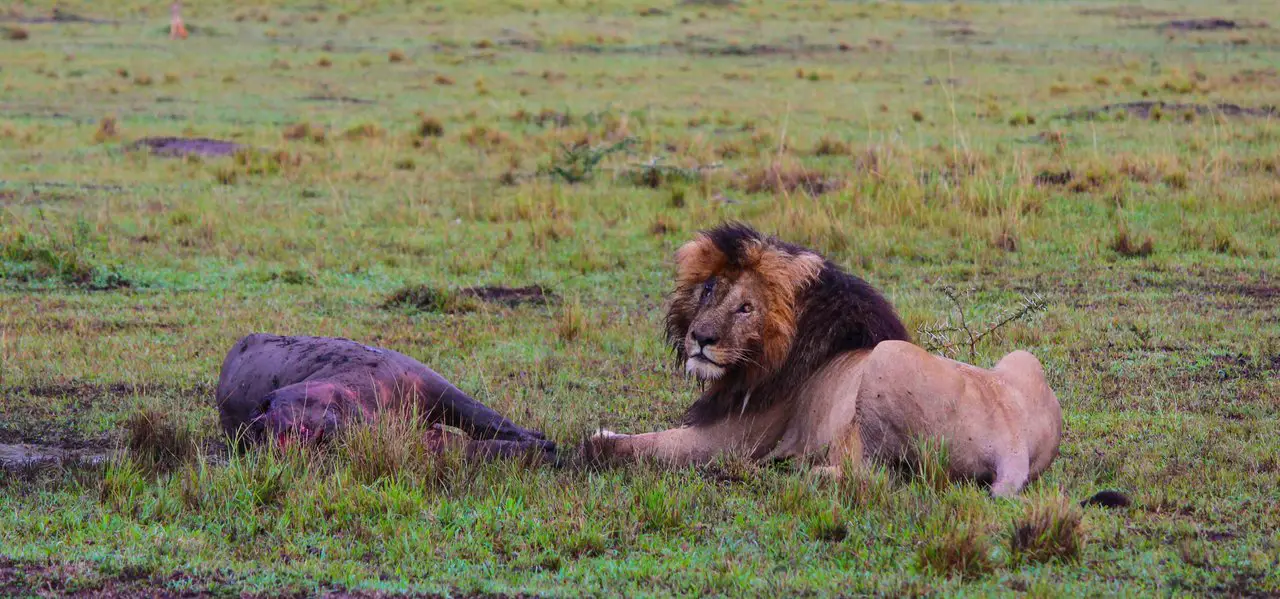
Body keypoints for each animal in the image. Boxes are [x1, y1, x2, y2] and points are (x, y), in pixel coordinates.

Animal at [588, 222, 1070, 499]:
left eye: (746, 308)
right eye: (708, 290)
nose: (700, 339)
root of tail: (1012, 443)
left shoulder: (732, 440)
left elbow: (628, 446)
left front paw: (589, 441)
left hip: (884, 364)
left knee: (877, 479)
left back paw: (802, 472)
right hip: (1022, 359)